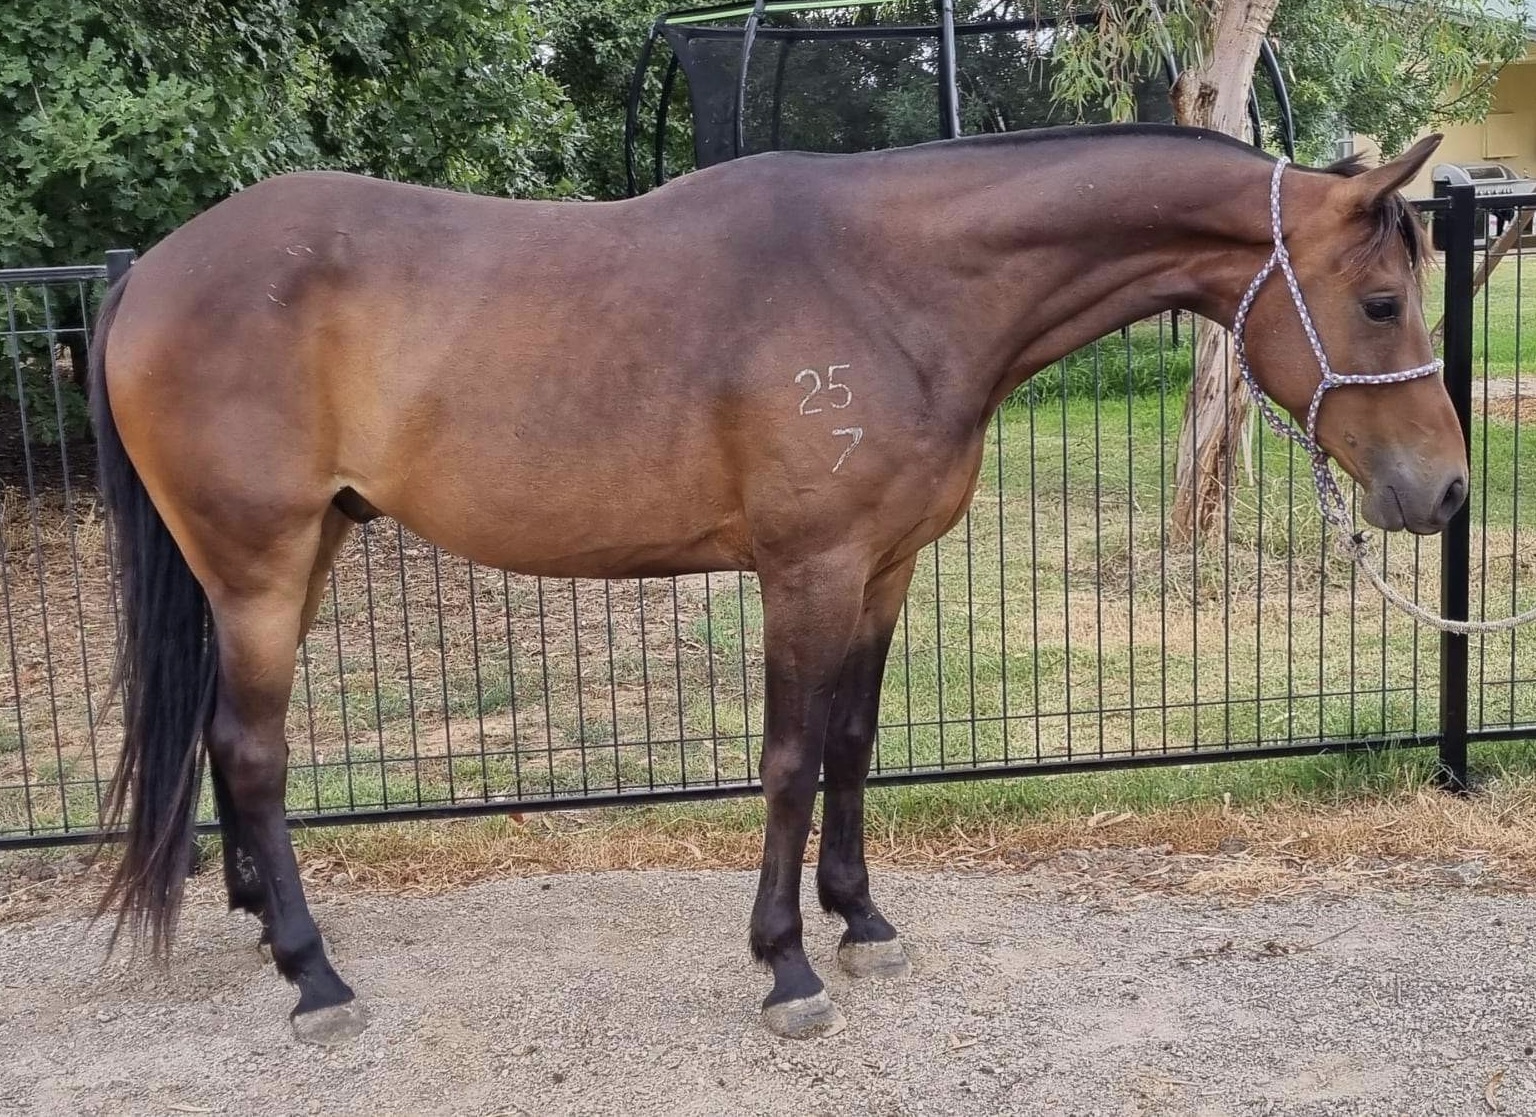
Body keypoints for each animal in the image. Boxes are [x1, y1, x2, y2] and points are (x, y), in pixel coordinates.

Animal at [85, 123, 1463, 1045]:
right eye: (1380, 301)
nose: (1445, 492)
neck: (894, 285)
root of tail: (152, 268)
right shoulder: (809, 571)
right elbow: (792, 757)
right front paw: (786, 963)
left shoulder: (885, 568)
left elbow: (852, 743)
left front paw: (861, 921)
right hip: (259, 566)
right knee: (252, 751)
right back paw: (314, 978)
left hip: (306, 550)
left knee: (223, 741)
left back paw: (263, 923)